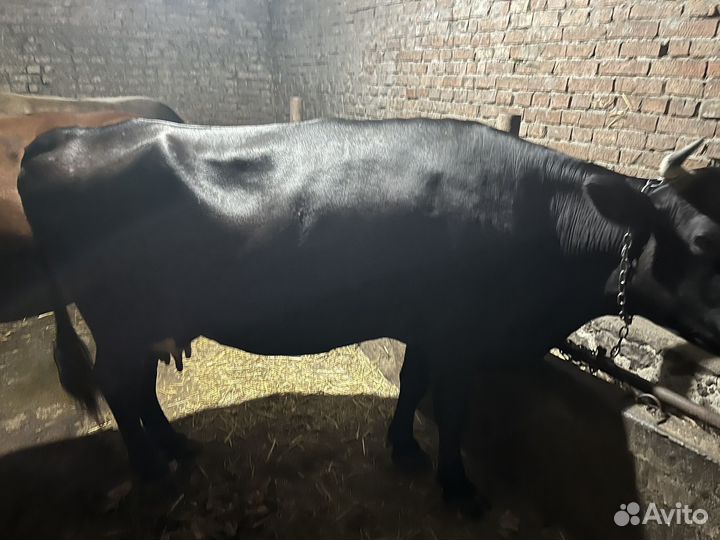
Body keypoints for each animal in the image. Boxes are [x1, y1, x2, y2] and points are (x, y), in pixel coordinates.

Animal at [17, 118, 720, 509]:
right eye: (706, 239)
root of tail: (61, 138)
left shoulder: (428, 325)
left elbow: (412, 384)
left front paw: (404, 448)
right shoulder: (460, 332)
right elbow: (453, 409)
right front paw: (458, 488)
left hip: (143, 316)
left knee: (137, 386)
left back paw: (175, 446)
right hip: (118, 313)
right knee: (118, 384)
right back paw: (151, 471)